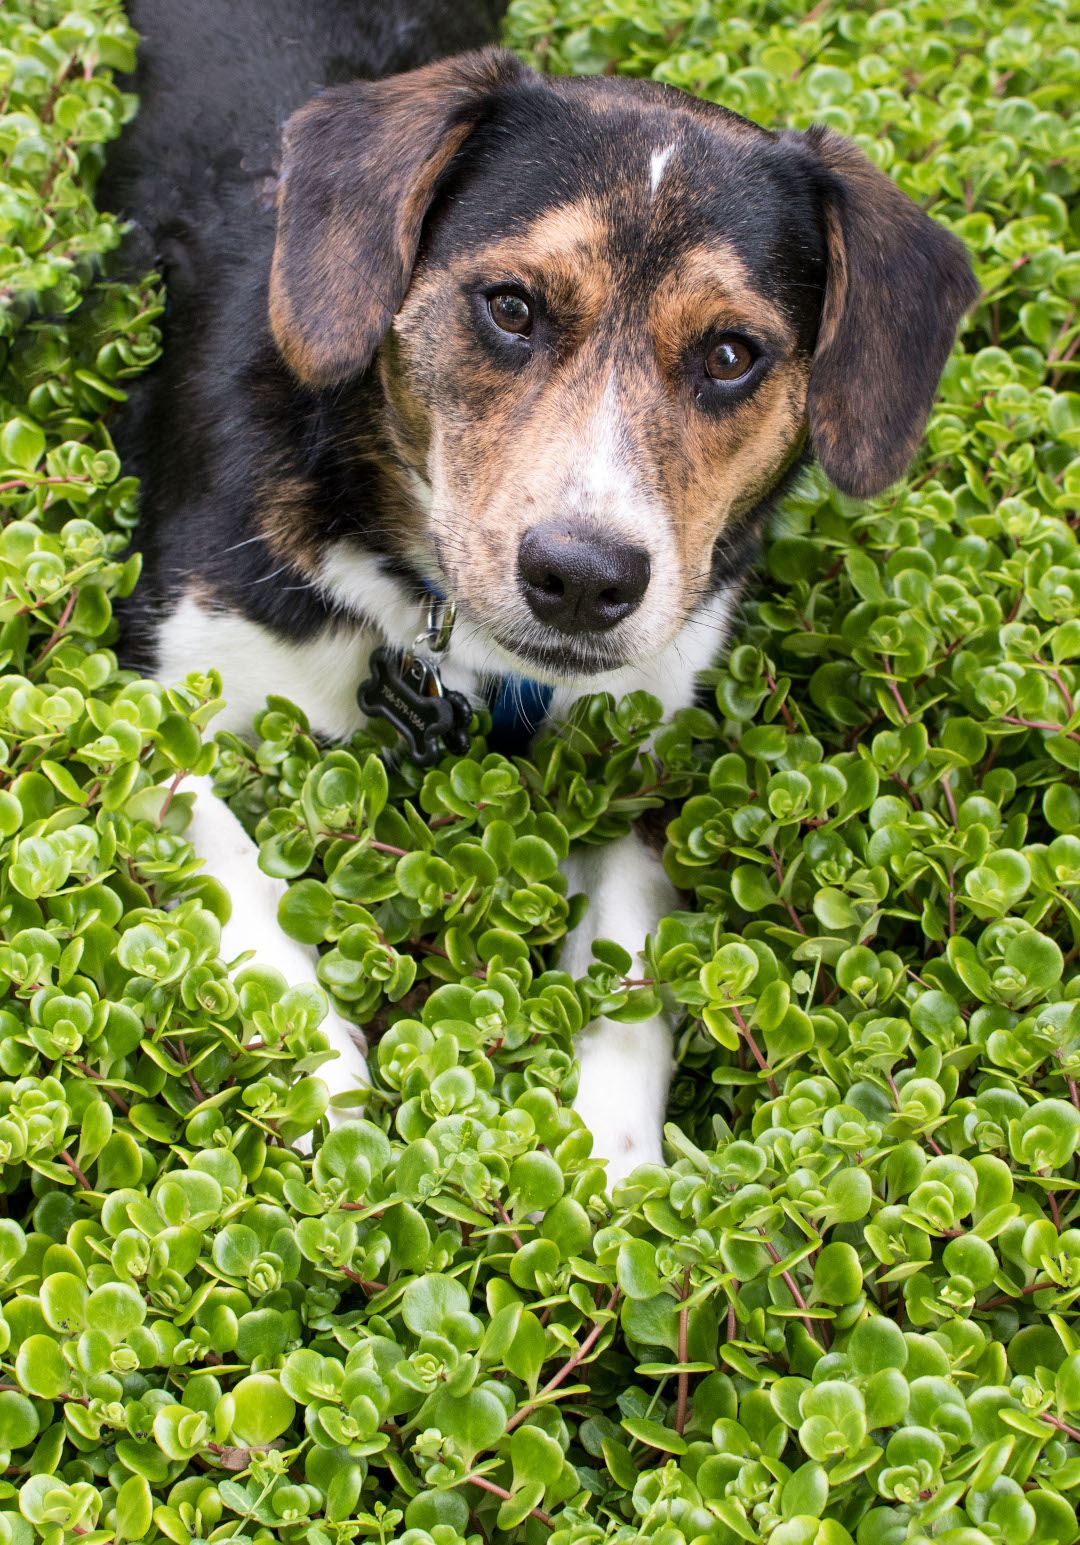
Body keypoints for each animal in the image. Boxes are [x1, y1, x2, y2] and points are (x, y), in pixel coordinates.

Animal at [101, 0, 982, 1186]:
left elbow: (632, 942)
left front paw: (610, 1150)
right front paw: (316, 1068)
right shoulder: (148, 704)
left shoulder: (645, 769)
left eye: (732, 354)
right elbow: (226, 857)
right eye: (511, 306)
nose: (583, 577)